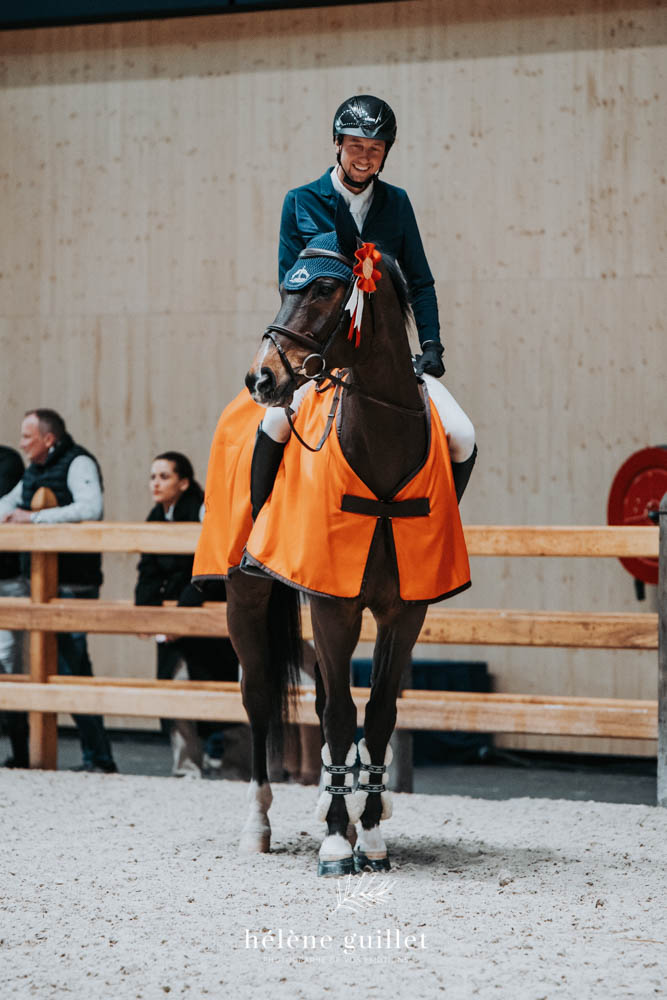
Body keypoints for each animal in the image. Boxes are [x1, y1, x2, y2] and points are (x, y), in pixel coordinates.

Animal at [230, 213, 470, 876]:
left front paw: (371, 829)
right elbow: (340, 715)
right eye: (286, 285)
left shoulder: (403, 611)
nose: (262, 378)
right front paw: (340, 842)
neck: (379, 446)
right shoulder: (333, 605)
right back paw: (258, 825)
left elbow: (378, 713)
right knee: (259, 700)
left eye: (322, 291)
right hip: (246, 600)